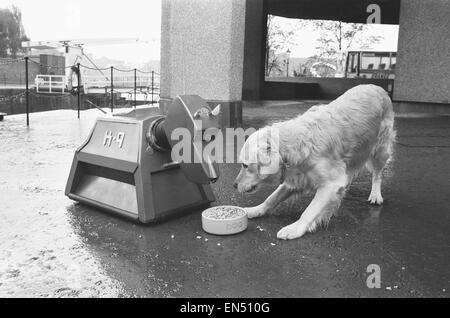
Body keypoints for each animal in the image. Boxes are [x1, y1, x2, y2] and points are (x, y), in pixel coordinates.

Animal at [234, 85, 396, 240]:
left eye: (245, 165)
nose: (234, 185)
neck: (295, 144)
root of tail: (378, 88)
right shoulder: (298, 177)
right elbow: (272, 198)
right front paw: (256, 210)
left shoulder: (331, 184)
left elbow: (310, 210)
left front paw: (295, 228)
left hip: (381, 149)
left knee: (377, 174)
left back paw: (376, 195)